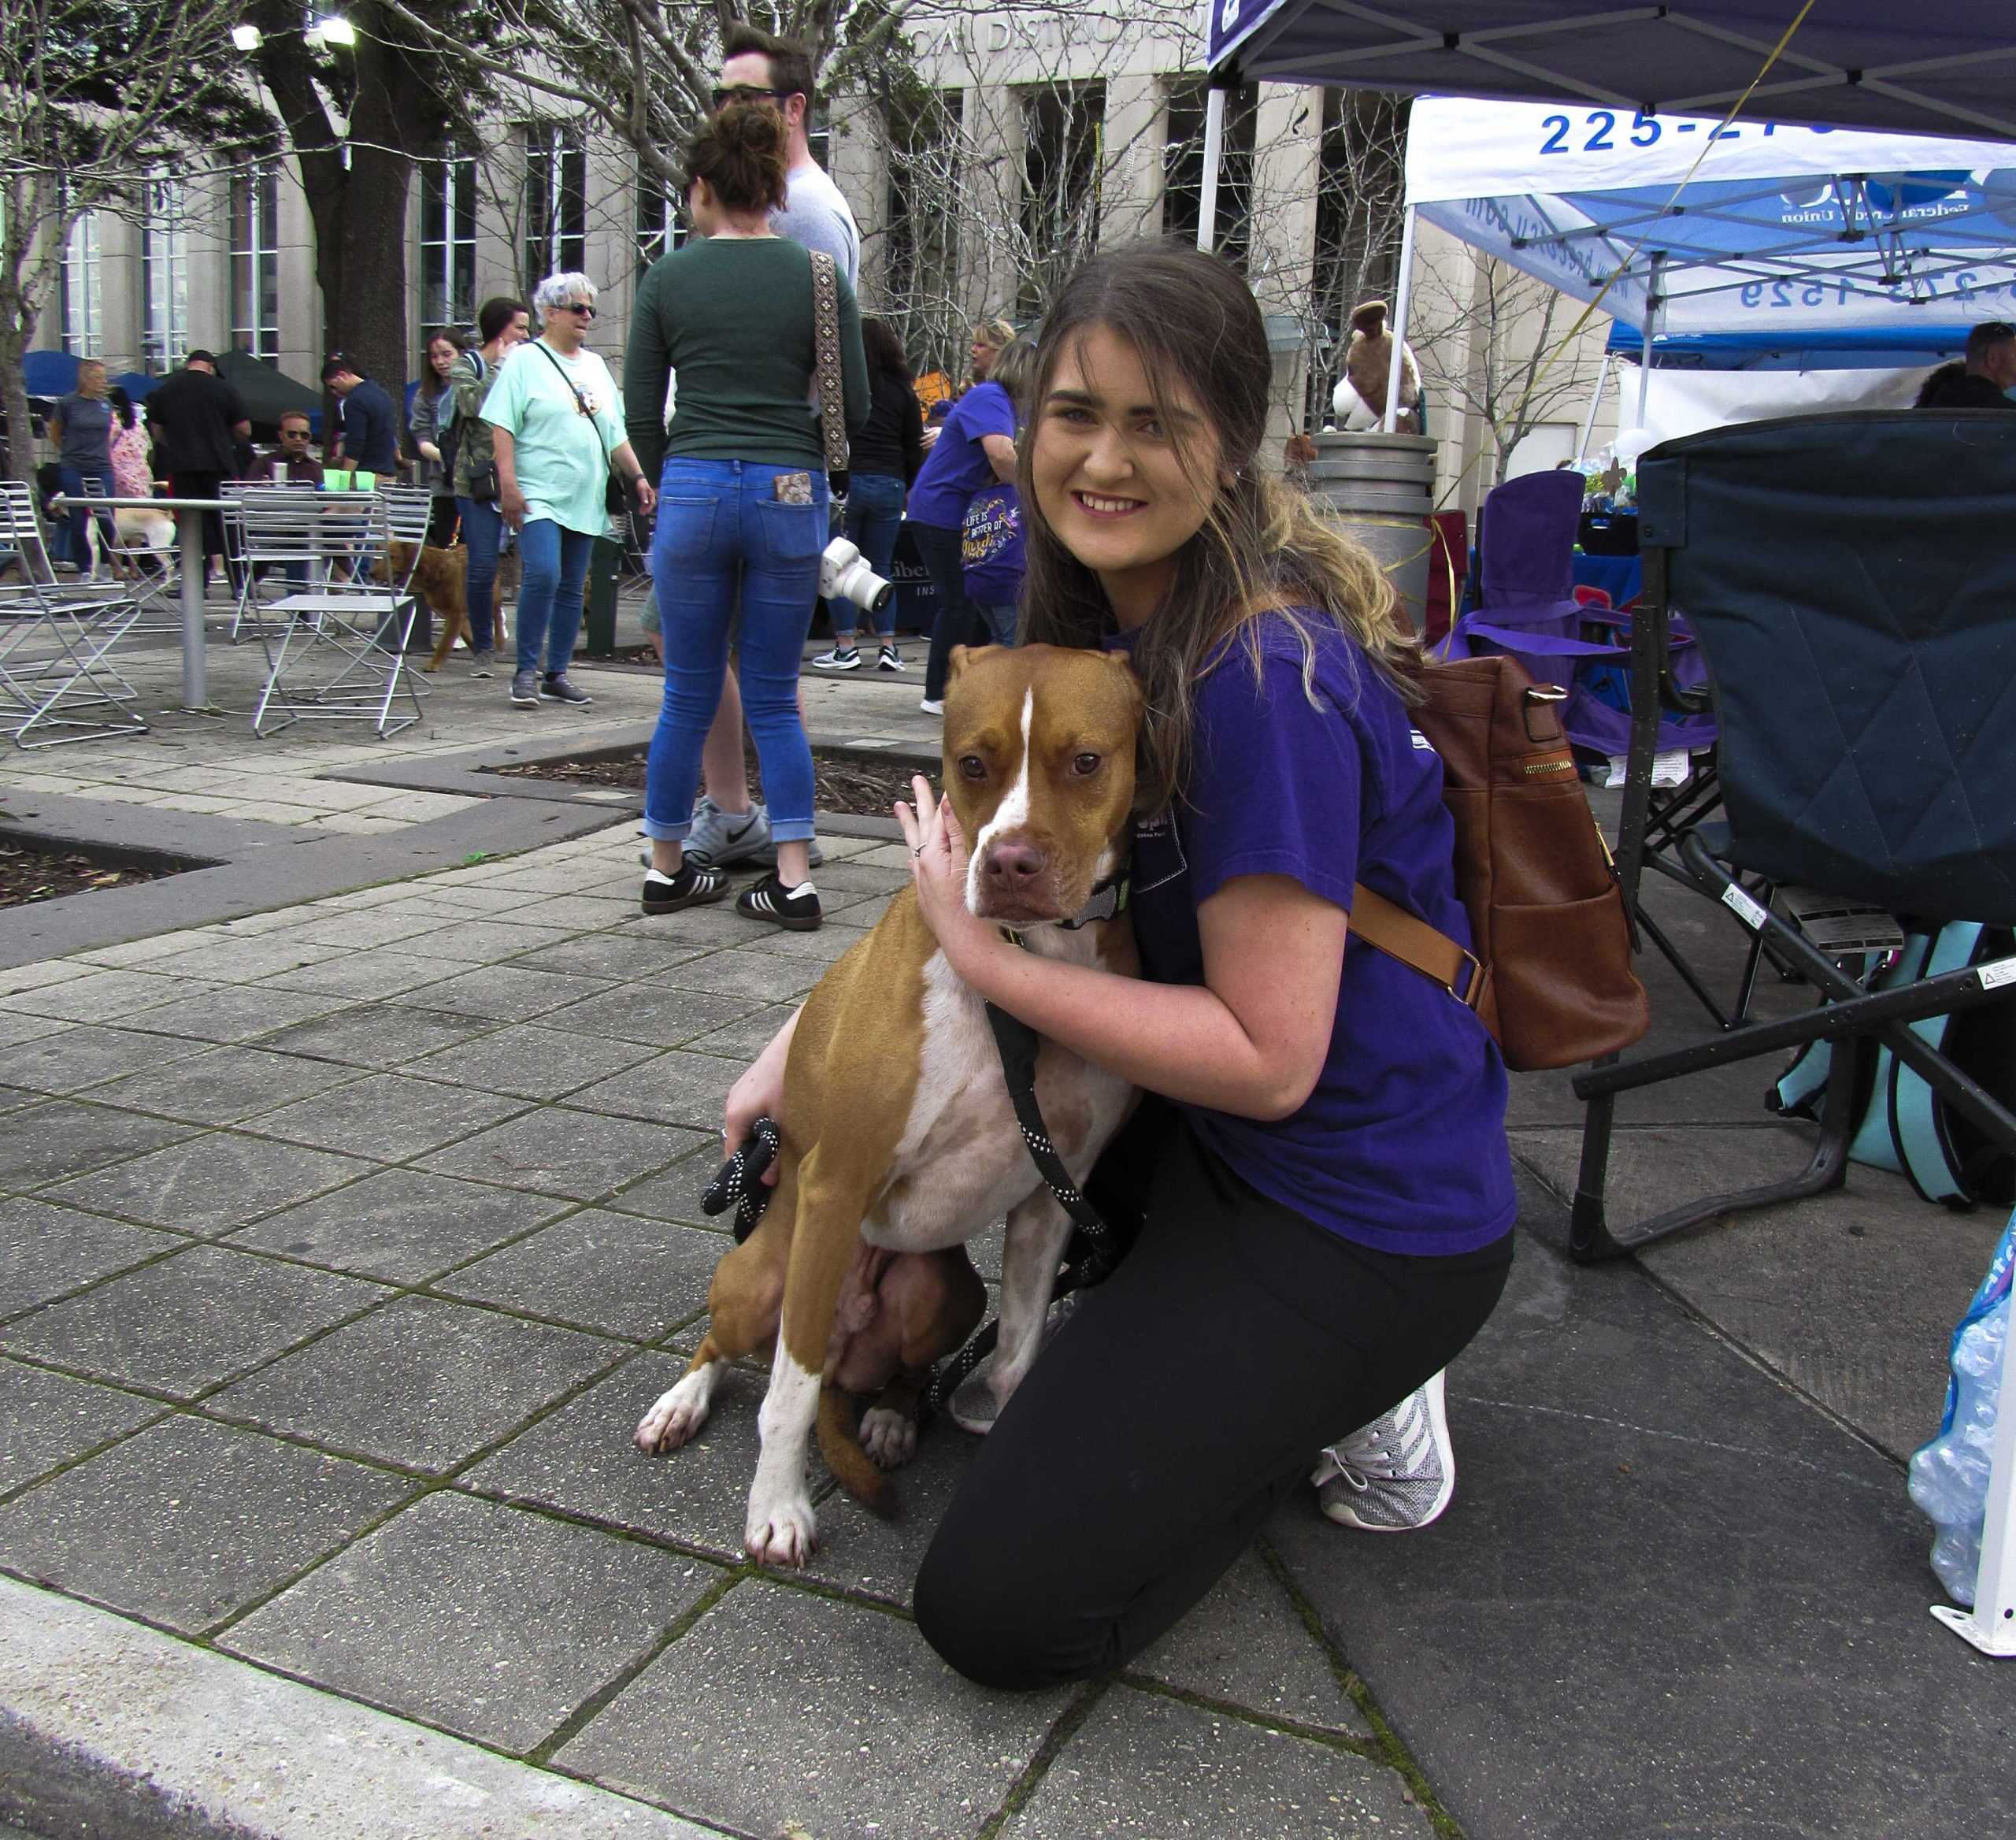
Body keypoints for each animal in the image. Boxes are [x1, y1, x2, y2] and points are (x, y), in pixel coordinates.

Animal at [636, 645, 1145, 1565]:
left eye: (1087, 761)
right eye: (972, 764)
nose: (1010, 864)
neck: (1027, 966)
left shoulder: (1055, 1193)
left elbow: (1017, 1346)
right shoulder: (839, 1182)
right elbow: (786, 1397)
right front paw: (776, 1510)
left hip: (945, 1290)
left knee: (900, 1370)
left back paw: (890, 1419)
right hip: (763, 1276)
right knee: (739, 1348)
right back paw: (681, 1403)